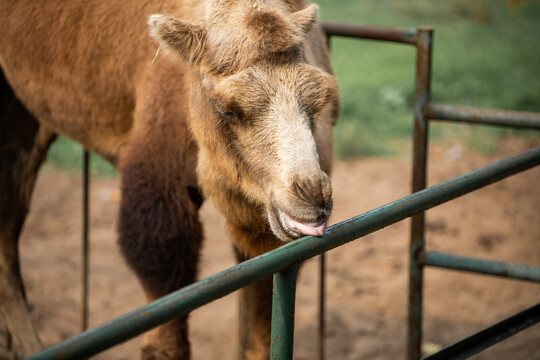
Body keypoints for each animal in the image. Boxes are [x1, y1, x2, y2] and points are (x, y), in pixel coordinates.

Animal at [0, 0, 338, 358]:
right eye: (228, 110)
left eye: (318, 102)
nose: (312, 194)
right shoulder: (158, 165)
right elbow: (162, 264)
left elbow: (263, 320)